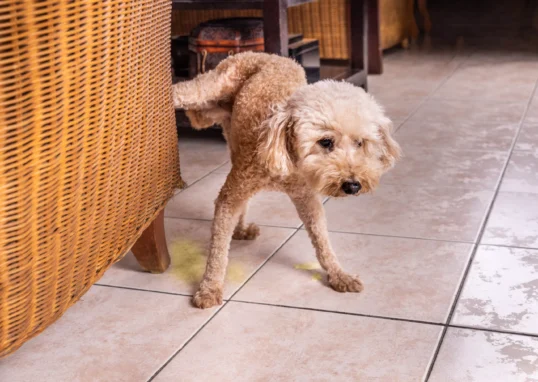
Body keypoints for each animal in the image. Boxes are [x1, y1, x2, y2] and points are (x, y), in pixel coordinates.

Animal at [172, 52, 398, 308]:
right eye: (326, 142)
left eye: (360, 143)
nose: (353, 185)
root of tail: (265, 54)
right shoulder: (231, 196)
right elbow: (218, 250)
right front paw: (209, 288)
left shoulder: (306, 199)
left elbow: (322, 241)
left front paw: (339, 274)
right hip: (213, 86)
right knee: (184, 90)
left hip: (232, 138)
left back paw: (241, 229)